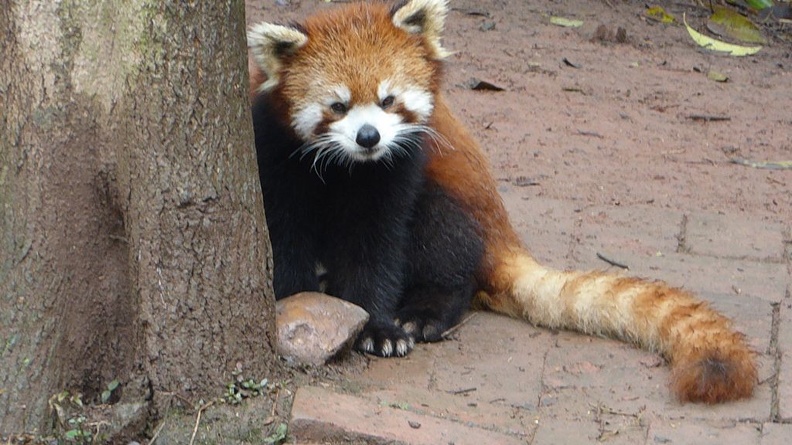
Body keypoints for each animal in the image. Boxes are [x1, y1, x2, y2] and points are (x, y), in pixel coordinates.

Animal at [248, 0, 756, 402]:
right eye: (338, 106)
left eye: (388, 99)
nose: (369, 137)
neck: (345, 168)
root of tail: (502, 232)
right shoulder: (274, 156)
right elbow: (283, 234)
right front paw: (295, 301)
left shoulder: (398, 168)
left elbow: (377, 249)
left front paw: (378, 328)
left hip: (456, 206)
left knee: (448, 248)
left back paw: (425, 312)